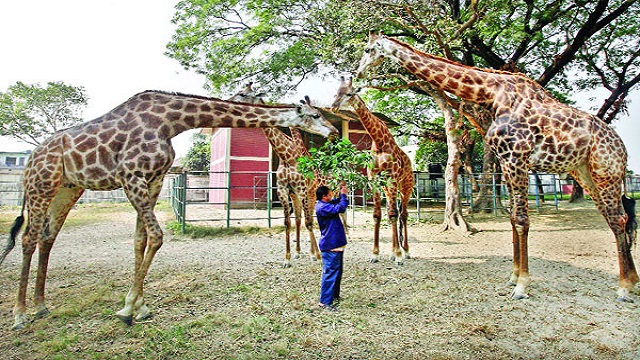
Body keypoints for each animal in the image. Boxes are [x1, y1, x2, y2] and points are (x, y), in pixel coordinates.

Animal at [228, 83, 322, 266]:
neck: (287, 156)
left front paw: (319, 257)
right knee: (299, 218)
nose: (229, 101)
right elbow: (287, 222)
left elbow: (308, 222)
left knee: (310, 219)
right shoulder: (284, 191)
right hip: (296, 195)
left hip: (311, 192)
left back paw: (314, 253)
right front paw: (287, 258)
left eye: (242, 93)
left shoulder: (302, 189)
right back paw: (301, 252)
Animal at [330, 75, 416, 264]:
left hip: (406, 185)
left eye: (349, 93)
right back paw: (392, 252)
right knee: (394, 212)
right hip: (388, 187)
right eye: (335, 92)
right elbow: (377, 214)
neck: (379, 141)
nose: (333, 107)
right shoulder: (374, 179)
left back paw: (405, 251)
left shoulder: (391, 177)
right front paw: (375, 254)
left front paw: (399, 256)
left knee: (403, 214)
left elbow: (393, 214)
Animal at [358, 30, 636, 300]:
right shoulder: (506, 160)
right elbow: (513, 218)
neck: (490, 94)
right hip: (584, 173)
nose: (358, 74)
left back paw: (623, 287)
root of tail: (622, 147)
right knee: (614, 216)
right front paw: (513, 277)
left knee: (619, 217)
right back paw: (632, 280)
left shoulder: (516, 157)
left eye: (368, 50)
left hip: (606, 172)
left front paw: (522, 286)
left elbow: (522, 219)